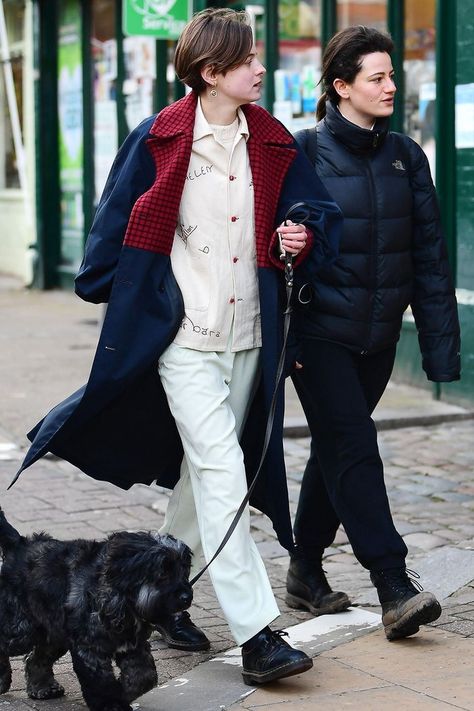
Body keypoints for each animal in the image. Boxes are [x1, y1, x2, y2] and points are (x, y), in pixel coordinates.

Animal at [0, 508, 193, 708]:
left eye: (184, 570)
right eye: (163, 573)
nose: (187, 597)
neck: (122, 603)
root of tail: (19, 545)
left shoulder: (134, 646)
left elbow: (143, 677)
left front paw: (124, 693)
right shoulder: (90, 650)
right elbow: (102, 686)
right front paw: (113, 704)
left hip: (54, 632)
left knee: (37, 657)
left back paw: (43, 688)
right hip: (21, 629)